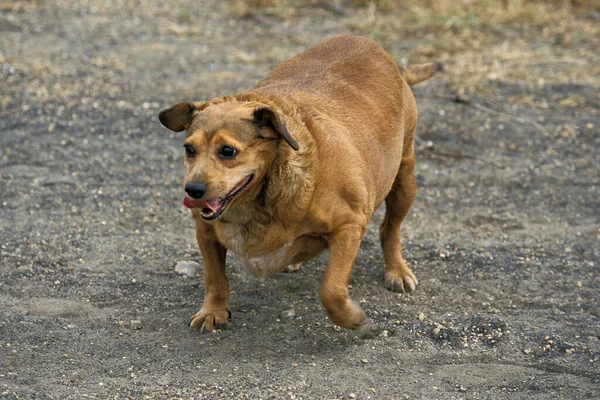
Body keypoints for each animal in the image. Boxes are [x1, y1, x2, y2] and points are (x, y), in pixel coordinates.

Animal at [159, 34, 438, 332]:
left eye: (227, 151)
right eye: (189, 149)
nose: (192, 190)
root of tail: (393, 63)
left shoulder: (349, 226)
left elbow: (331, 289)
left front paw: (351, 319)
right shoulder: (205, 231)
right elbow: (215, 277)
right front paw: (213, 311)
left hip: (404, 180)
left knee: (389, 229)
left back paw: (396, 270)